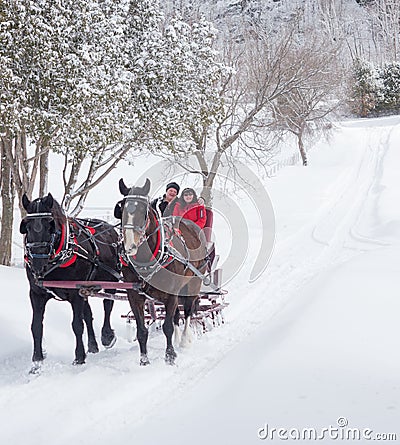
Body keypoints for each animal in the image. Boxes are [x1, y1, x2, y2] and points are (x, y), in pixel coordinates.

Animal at [19, 193, 120, 370]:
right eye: (27, 226)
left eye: (50, 226)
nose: (37, 263)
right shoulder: (37, 293)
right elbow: (36, 326)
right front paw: (37, 361)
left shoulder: (75, 293)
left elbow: (77, 325)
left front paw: (79, 358)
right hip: (86, 288)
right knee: (88, 314)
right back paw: (93, 346)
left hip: (111, 280)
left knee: (107, 305)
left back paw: (107, 336)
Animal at [112, 177, 206, 364]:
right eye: (121, 208)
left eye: (143, 211)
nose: (129, 246)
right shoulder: (134, 295)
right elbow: (142, 330)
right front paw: (144, 360)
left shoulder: (171, 293)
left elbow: (168, 326)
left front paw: (170, 356)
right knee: (177, 314)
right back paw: (178, 339)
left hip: (193, 283)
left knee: (188, 311)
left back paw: (184, 340)